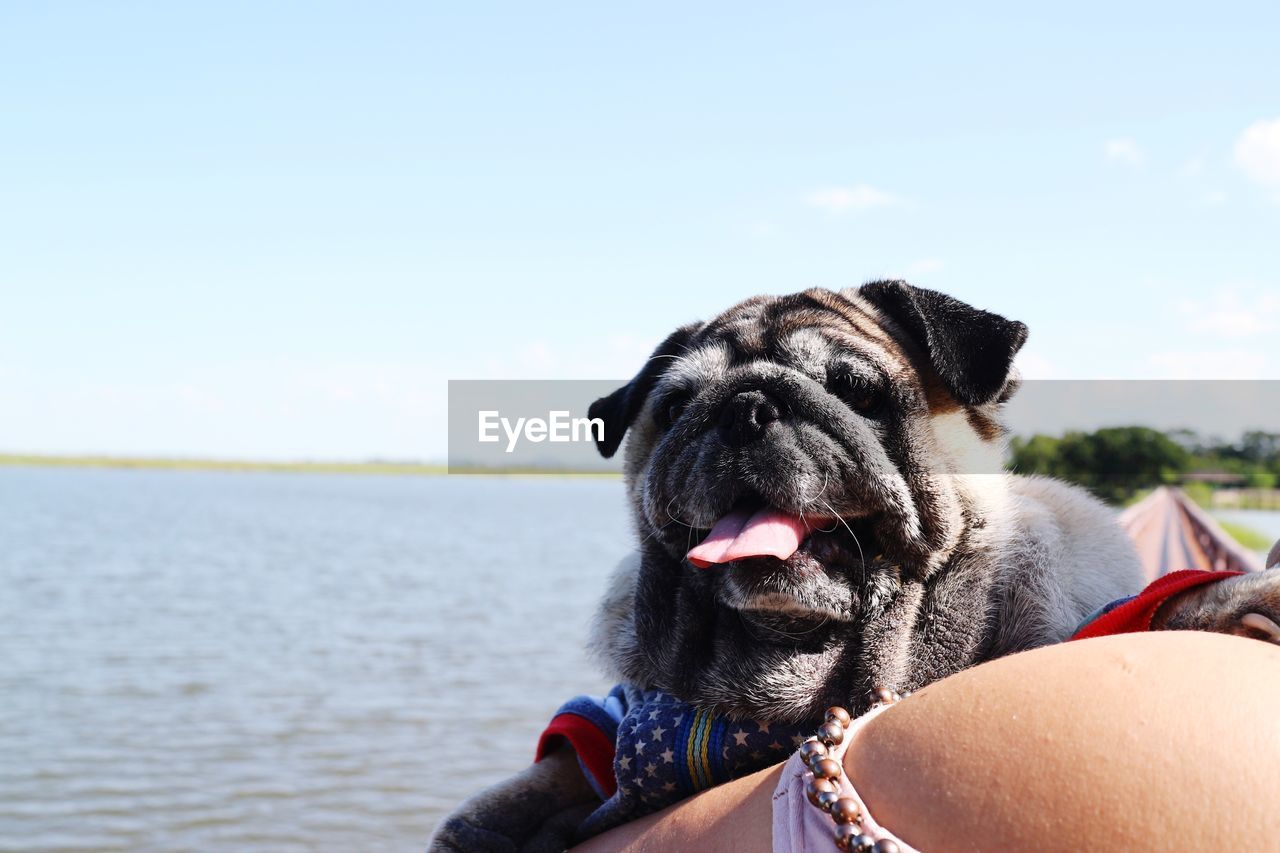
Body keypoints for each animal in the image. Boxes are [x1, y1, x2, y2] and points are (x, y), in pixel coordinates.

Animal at [430, 281, 1280, 845]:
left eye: (855, 391)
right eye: (672, 409)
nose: (743, 406)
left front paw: (1230, 602)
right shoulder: (618, 713)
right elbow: (564, 765)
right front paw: (483, 821)